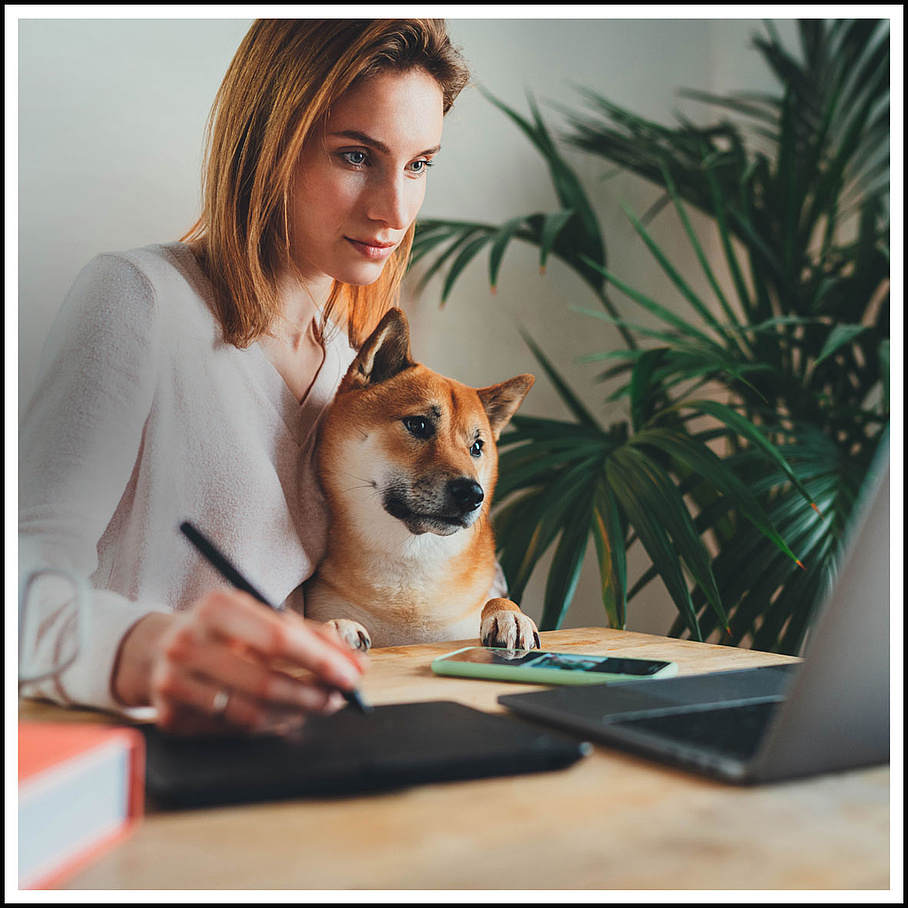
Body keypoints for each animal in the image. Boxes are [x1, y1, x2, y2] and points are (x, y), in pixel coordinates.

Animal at [306, 308, 540, 648]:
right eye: (418, 425)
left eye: (477, 447)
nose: (472, 494)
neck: (411, 564)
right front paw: (336, 628)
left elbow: (496, 600)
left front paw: (510, 614)